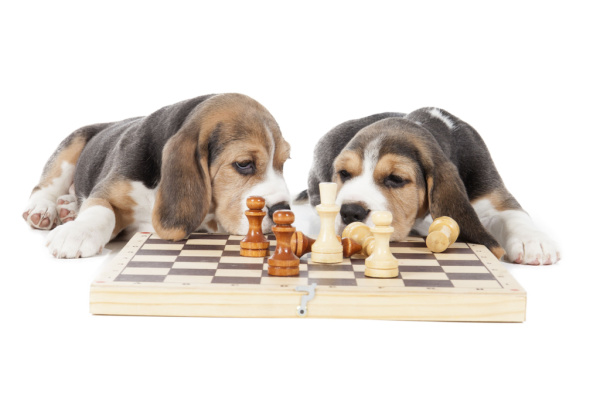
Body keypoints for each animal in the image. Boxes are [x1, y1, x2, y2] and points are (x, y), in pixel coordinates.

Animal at [24, 93, 292, 260]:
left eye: (283, 163)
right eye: (244, 164)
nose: (282, 209)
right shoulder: (108, 191)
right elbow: (101, 210)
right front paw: (78, 233)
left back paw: (68, 207)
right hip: (71, 146)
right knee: (43, 188)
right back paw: (44, 210)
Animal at [308, 108, 560, 266]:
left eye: (396, 179)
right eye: (344, 173)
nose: (350, 212)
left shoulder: (491, 193)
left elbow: (513, 215)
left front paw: (533, 242)